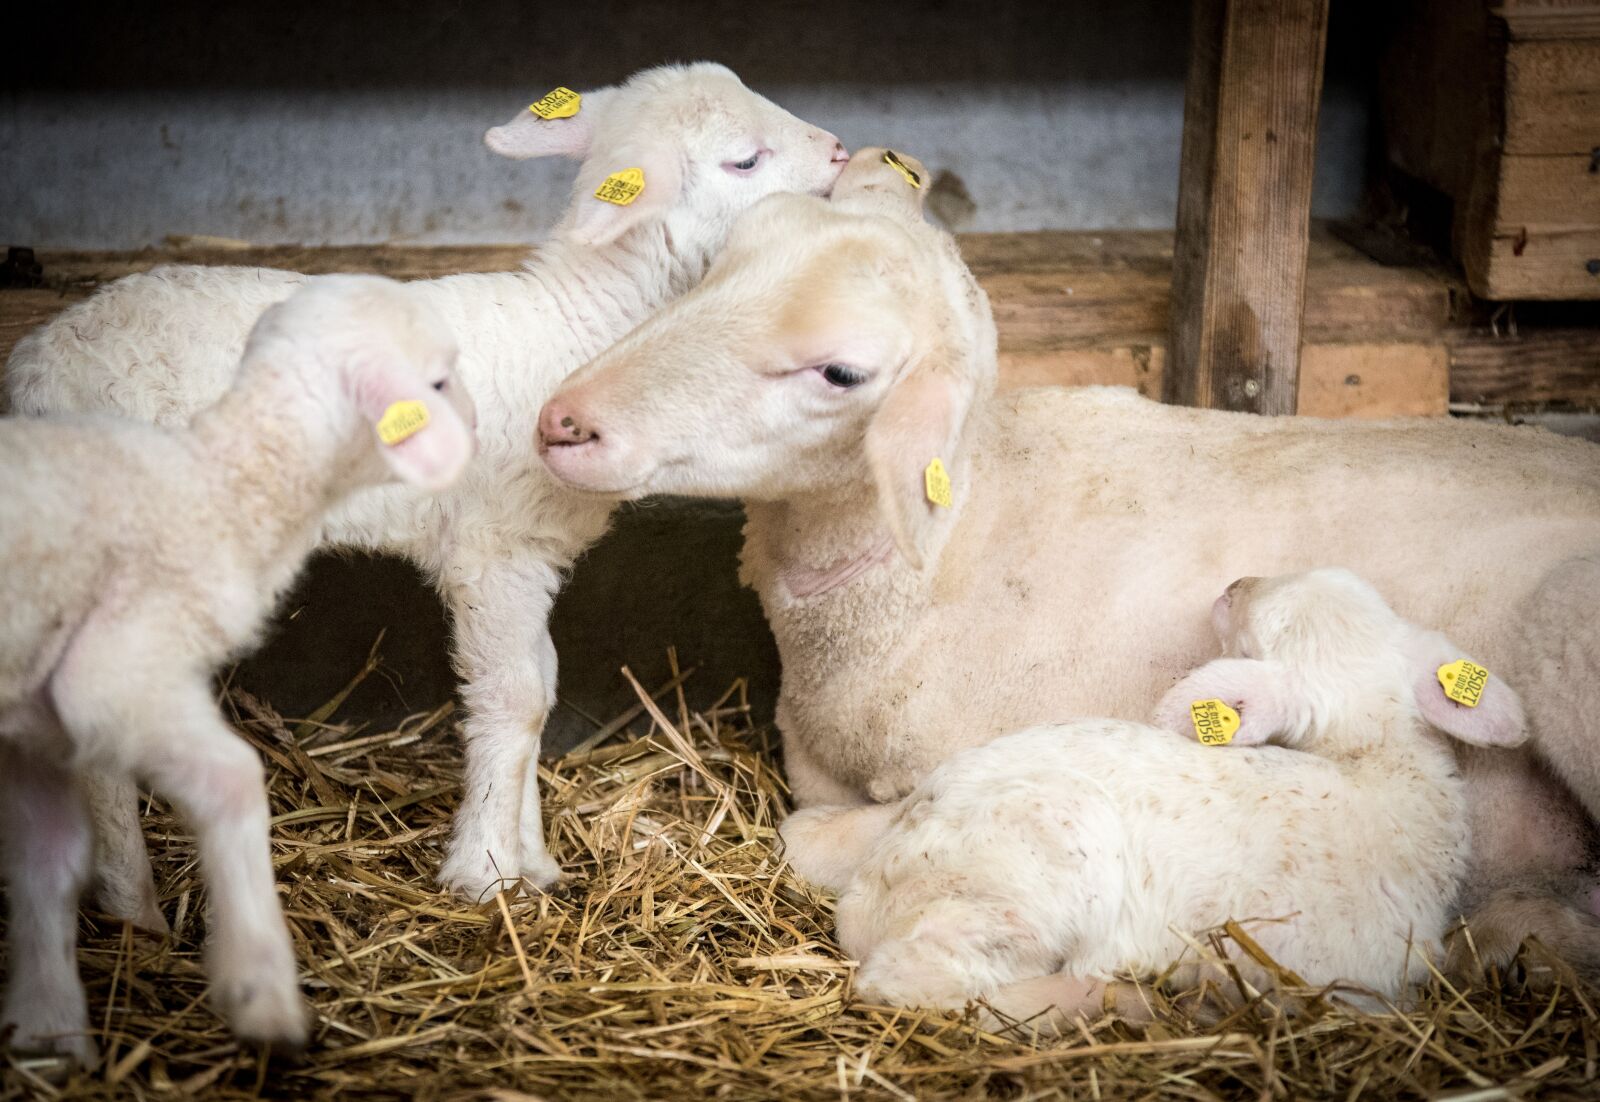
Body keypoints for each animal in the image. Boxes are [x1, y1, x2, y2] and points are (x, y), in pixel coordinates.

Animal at [0, 275, 476, 1062]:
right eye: (436, 382)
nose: (477, 422)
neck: (220, 481)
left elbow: (48, 857)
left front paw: (46, 1024)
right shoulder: (115, 665)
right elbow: (225, 779)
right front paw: (257, 984)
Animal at [4, 62, 849, 907]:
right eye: (745, 159)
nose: (841, 150)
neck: (574, 328)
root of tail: (37, 363)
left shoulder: (530, 552)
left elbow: (541, 684)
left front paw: (530, 862)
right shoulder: (492, 548)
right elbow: (515, 697)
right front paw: (485, 871)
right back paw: (131, 898)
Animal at [778, 569, 1527, 1025]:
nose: (1235, 582)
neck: (1375, 764)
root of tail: (867, 894)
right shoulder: (1343, 983)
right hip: (1036, 877)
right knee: (913, 981)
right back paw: (1114, 999)